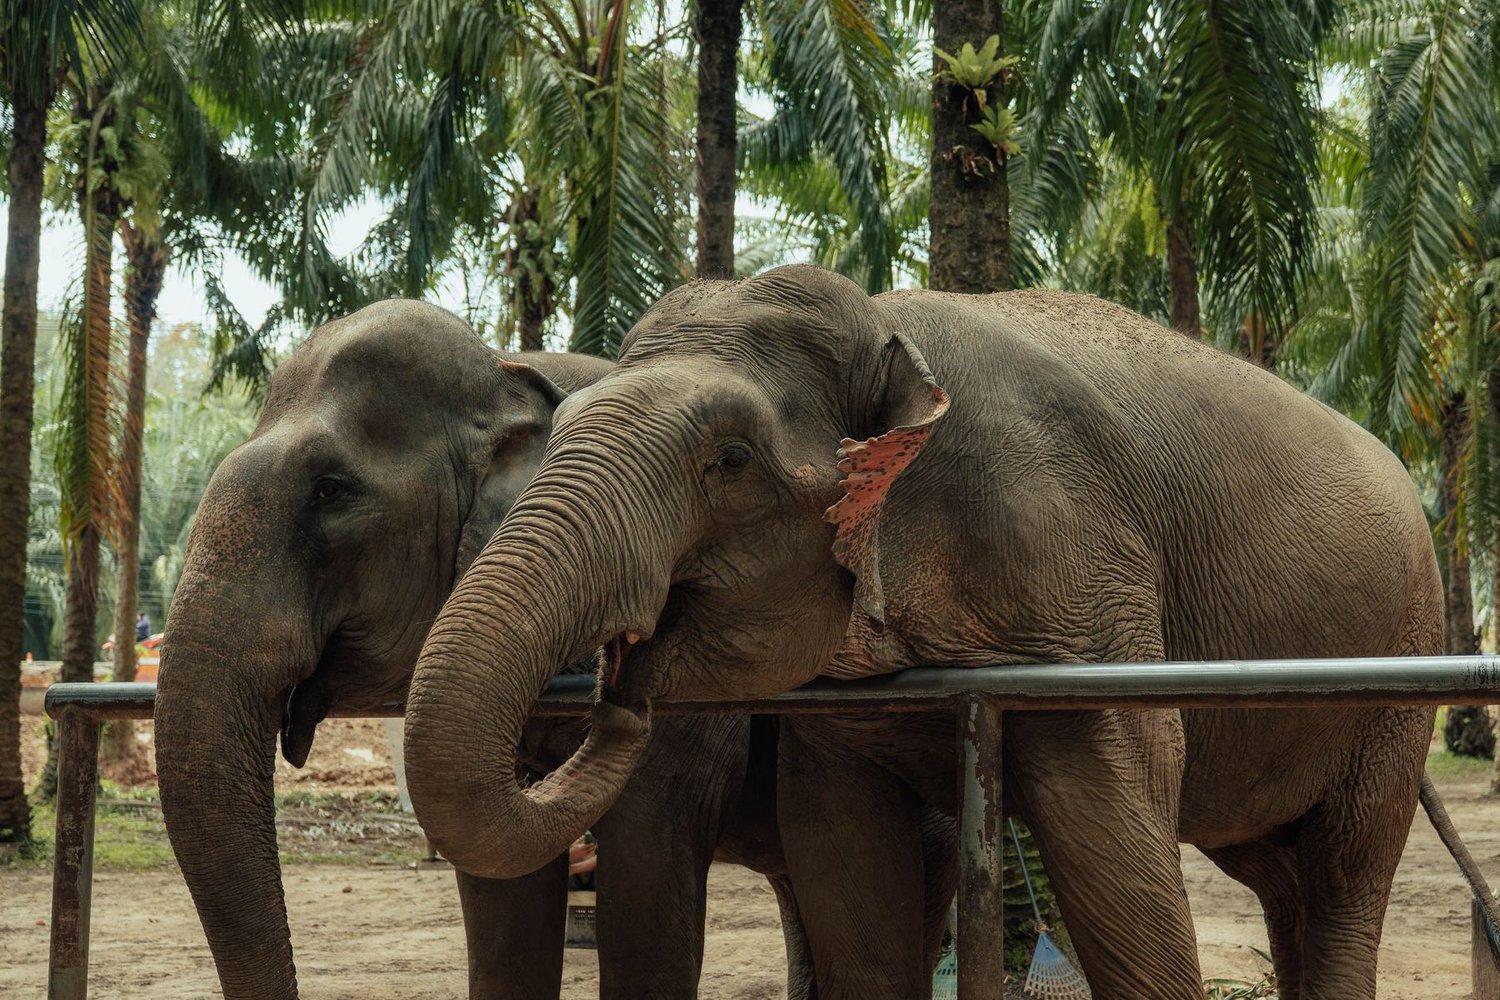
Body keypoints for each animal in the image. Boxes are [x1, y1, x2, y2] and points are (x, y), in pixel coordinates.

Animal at [403, 264, 1443, 1000]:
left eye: (729, 459)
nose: (618, 681)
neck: (884, 323)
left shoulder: (1079, 570)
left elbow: (1113, 819)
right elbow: (845, 861)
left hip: (1402, 671)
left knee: (1346, 869)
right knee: (1279, 873)